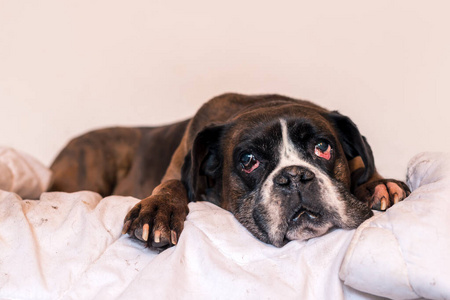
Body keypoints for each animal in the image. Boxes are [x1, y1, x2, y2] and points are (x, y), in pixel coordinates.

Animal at [47, 93, 410, 248]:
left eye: (323, 147)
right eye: (248, 160)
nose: (294, 176)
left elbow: (365, 168)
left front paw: (378, 185)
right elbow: (173, 187)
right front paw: (158, 212)